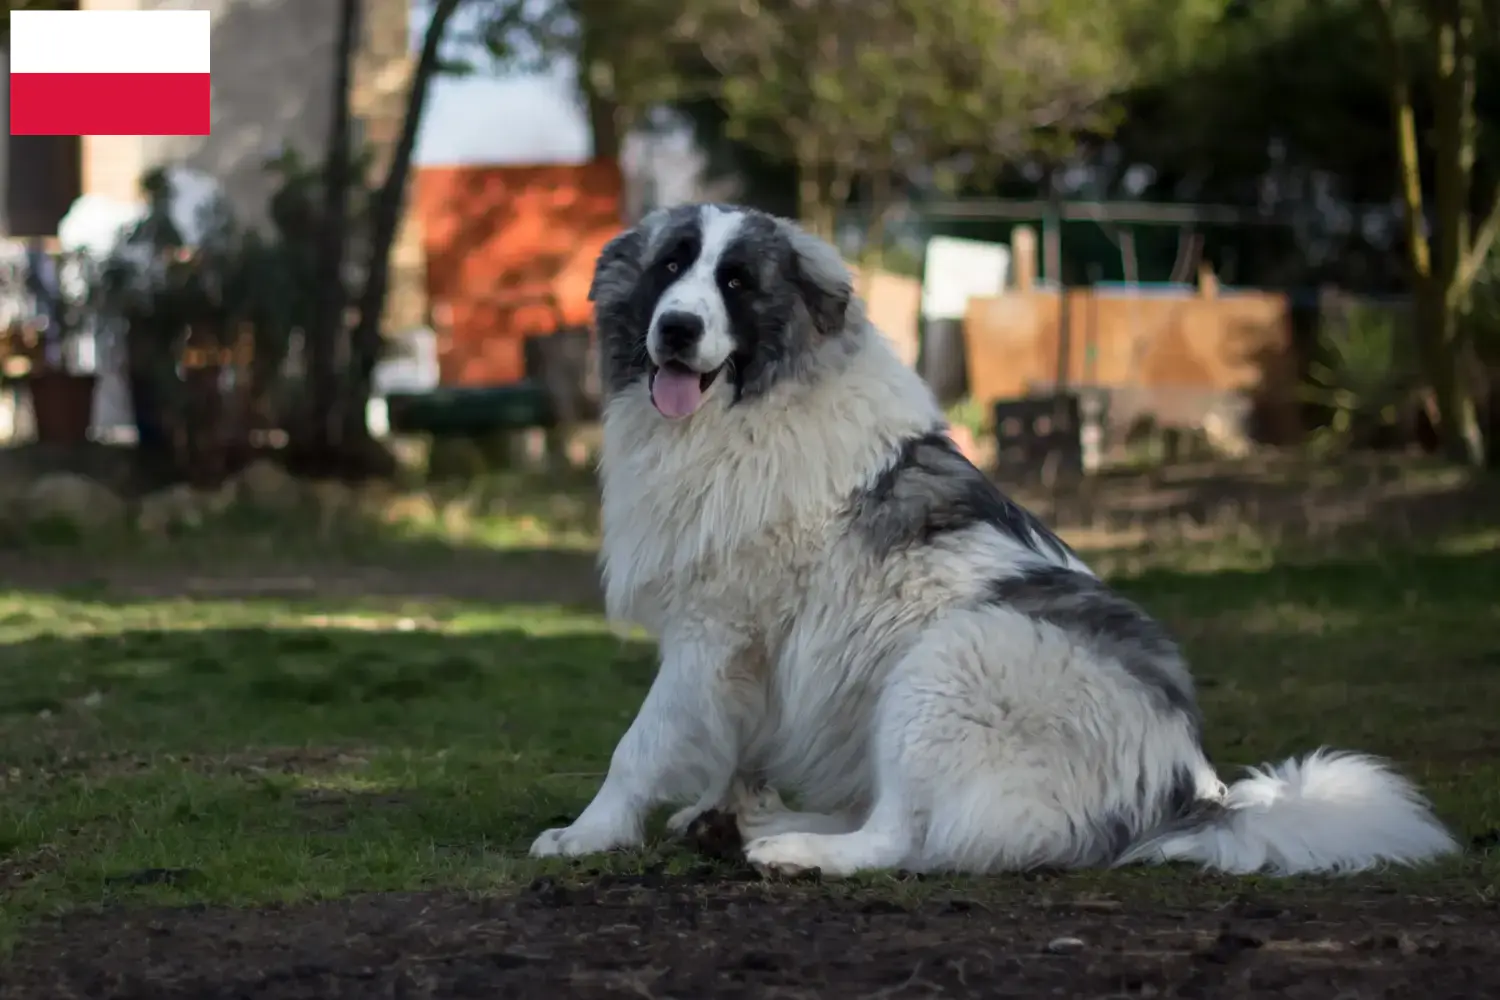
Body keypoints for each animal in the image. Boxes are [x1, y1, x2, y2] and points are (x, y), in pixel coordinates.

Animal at [528, 203, 1452, 875]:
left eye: (735, 281)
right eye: (669, 267)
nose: (678, 329)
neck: (754, 405)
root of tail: (1194, 789)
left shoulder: (712, 632)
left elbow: (640, 743)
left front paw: (587, 833)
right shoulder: (739, 659)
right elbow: (717, 742)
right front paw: (710, 802)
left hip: (945, 660)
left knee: (904, 836)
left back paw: (790, 847)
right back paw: (750, 821)